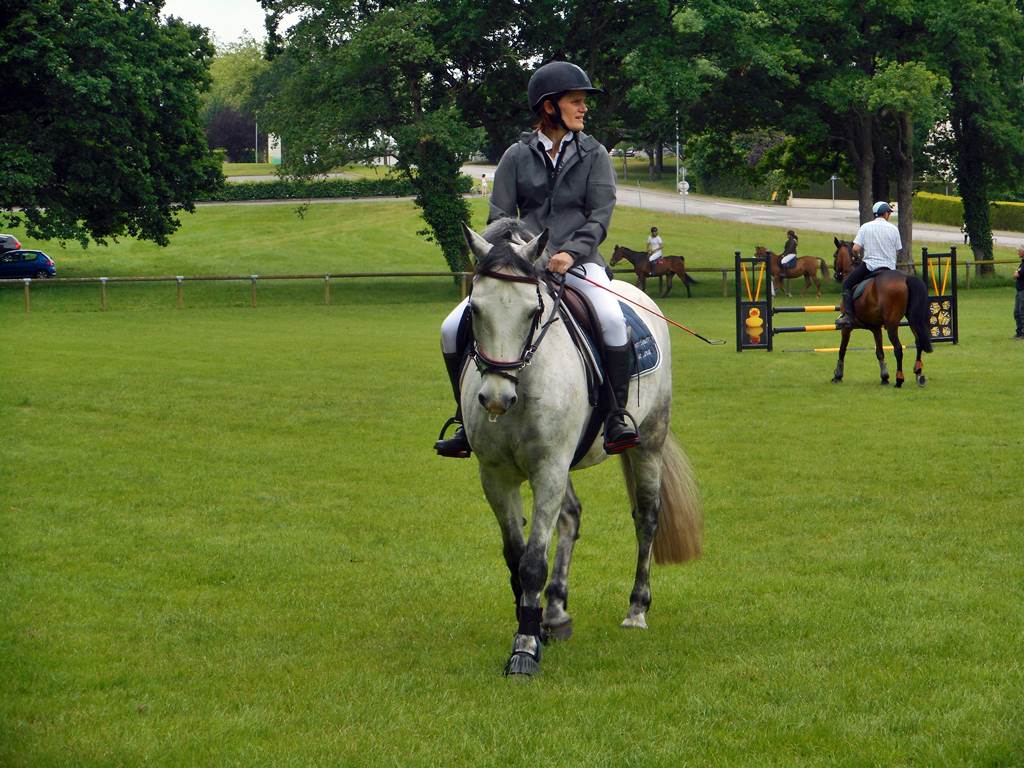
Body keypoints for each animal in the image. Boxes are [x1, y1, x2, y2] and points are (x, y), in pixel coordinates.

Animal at [460, 219, 700, 675]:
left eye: (532, 312)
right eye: (475, 310)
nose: (496, 399)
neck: (524, 382)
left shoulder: (549, 467)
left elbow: (532, 562)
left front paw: (523, 651)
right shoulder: (495, 475)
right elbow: (516, 556)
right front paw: (534, 627)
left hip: (649, 441)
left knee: (646, 518)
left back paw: (636, 609)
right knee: (571, 517)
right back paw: (555, 611)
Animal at [835, 237, 933, 387]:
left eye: (835, 255)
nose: (836, 275)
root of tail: (906, 278)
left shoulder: (847, 328)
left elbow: (842, 350)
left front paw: (837, 375)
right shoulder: (876, 328)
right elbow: (879, 352)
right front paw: (884, 377)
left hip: (892, 324)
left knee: (898, 348)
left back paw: (899, 379)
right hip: (913, 320)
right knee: (919, 342)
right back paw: (918, 373)